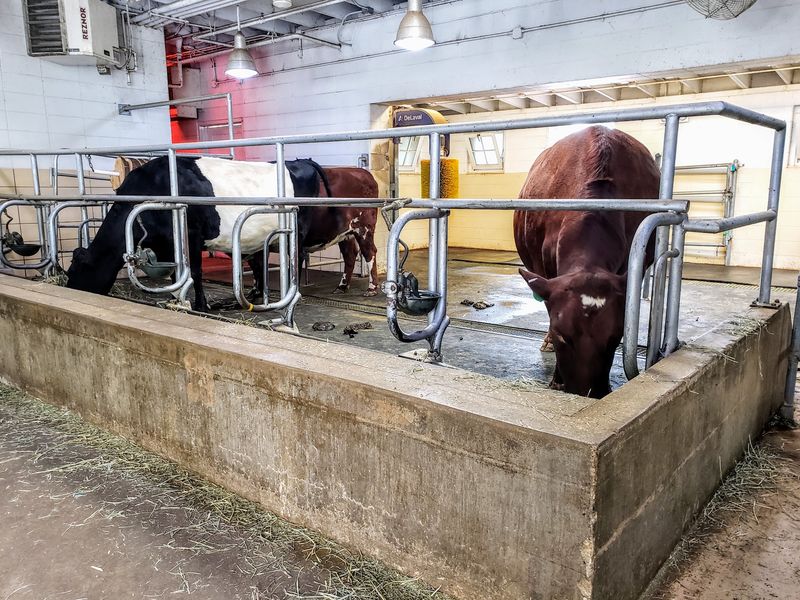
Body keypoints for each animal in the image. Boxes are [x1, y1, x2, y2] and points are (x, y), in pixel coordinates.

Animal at [66, 155, 326, 311]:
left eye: (77, 270)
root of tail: (299, 161)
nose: (69, 291)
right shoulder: (172, 243)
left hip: (296, 231)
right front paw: (176, 298)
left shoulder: (191, 235)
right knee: (259, 263)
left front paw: (201, 305)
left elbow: (196, 273)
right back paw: (254, 296)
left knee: (296, 259)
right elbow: (176, 273)